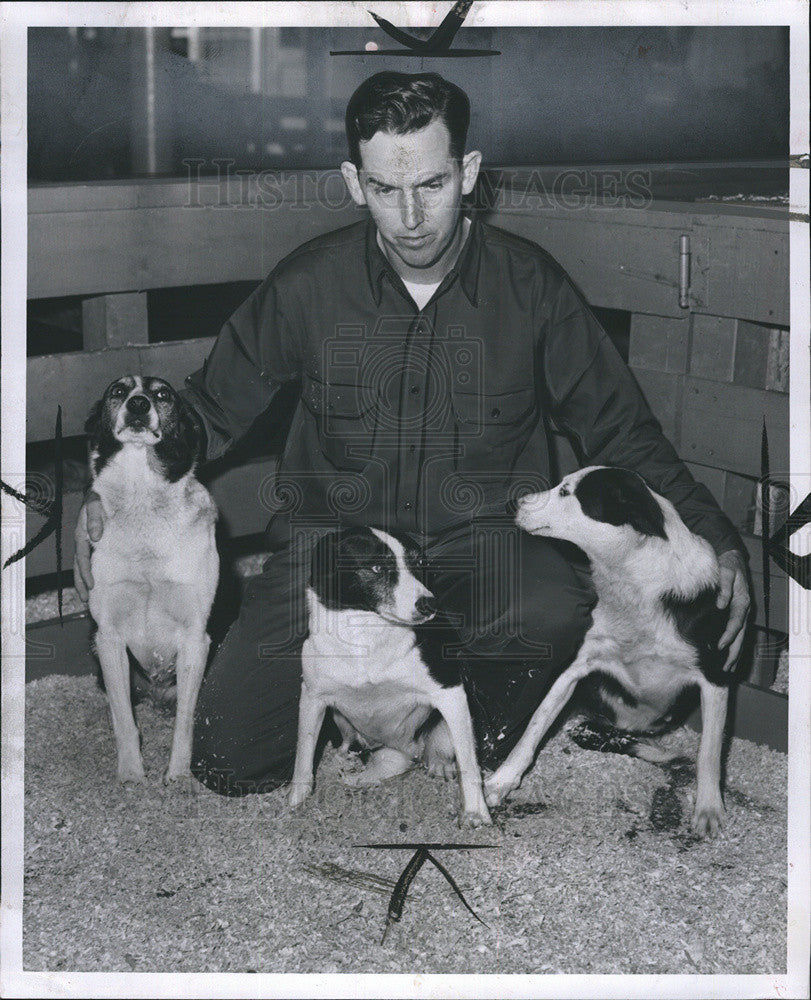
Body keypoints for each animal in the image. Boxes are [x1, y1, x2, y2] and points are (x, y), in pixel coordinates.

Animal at [85, 376, 219, 780]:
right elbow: (124, 720)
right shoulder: (109, 637)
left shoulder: (195, 639)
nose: (139, 404)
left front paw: (177, 776)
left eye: (162, 394)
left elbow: (186, 722)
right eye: (117, 391)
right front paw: (131, 775)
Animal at [288, 528, 488, 824]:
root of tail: (411, 751)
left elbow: (469, 765)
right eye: (377, 568)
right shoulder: (313, 697)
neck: (367, 637)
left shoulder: (451, 692)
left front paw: (476, 811)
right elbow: (303, 754)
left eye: (420, 563)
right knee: (368, 755)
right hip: (345, 722)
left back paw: (437, 762)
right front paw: (296, 799)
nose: (430, 604)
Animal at [486, 466, 740, 836]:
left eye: (566, 492)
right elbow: (535, 724)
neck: (633, 578)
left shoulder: (716, 677)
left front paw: (709, 808)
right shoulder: (575, 666)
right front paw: (502, 780)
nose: (511, 504)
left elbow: (709, 752)